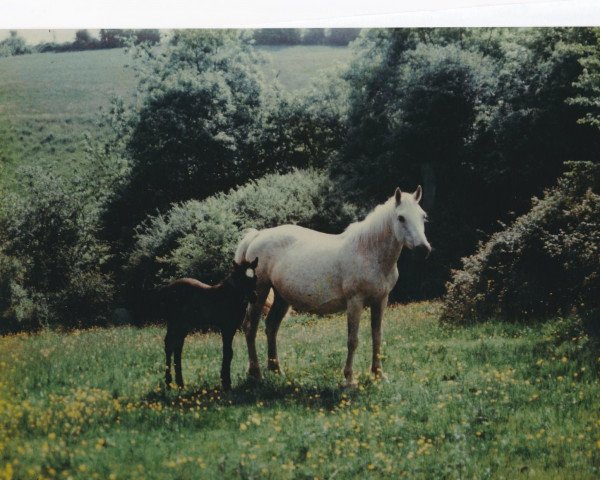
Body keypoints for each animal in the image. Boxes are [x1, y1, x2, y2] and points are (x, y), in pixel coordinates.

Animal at [162, 258, 258, 390]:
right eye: (241, 278)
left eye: (255, 278)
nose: (254, 297)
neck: (229, 295)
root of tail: (168, 289)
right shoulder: (226, 328)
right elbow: (228, 352)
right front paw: (226, 383)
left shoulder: (232, 328)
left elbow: (229, 352)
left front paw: (225, 381)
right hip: (174, 323)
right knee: (169, 345)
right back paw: (168, 383)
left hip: (184, 325)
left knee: (178, 347)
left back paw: (180, 384)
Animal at [234, 186, 432, 384]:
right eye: (401, 217)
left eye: (423, 216)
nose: (423, 249)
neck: (368, 252)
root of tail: (257, 235)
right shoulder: (355, 302)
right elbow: (353, 340)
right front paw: (349, 378)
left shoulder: (381, 300)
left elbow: (377, 336)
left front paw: (378, 375)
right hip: (260, 291)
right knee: (250, 328)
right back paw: (256, 373)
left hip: (281, 297)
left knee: (271, 326)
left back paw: (276, 370)